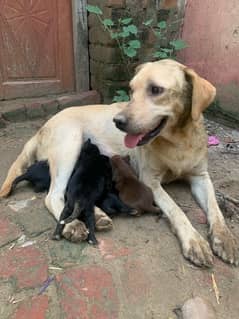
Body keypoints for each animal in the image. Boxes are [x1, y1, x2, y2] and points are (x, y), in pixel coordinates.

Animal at [0, 60, 238, 268]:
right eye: (131, 90)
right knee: (54, 195)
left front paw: (224, 238)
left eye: (156, 90)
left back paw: (97, 215)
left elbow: (215, 209)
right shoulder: (150, 181)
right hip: (69, 146)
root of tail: (42, 127)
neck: (178, 139)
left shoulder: (201, 177)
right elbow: (176, 209)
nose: (118, 121)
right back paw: (73, 225)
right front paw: (194, 241)